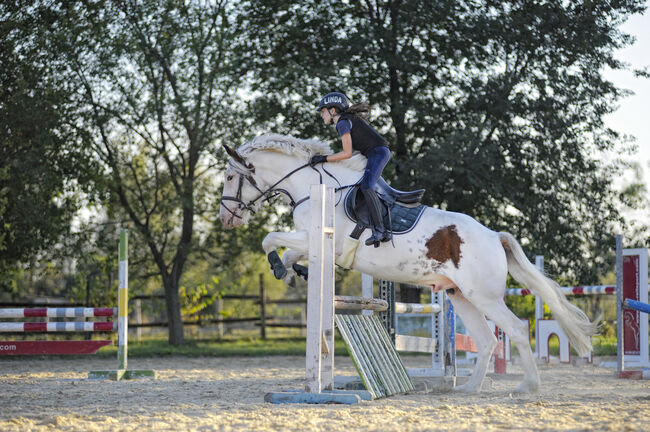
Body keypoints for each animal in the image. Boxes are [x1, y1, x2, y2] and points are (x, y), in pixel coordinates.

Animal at [220, 133, 596, 394]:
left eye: (228, 178)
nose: (226, 219)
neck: (315, 187)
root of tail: (494, 236)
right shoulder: (311, 241)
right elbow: (285, 250)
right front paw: (290, 271)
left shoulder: (321, 239)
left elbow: (271, 239)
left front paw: (281, 268)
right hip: (460, 296)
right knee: (488, 339)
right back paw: (468, 388)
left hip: (483, 296)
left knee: (515, 329)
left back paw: (527, 386)